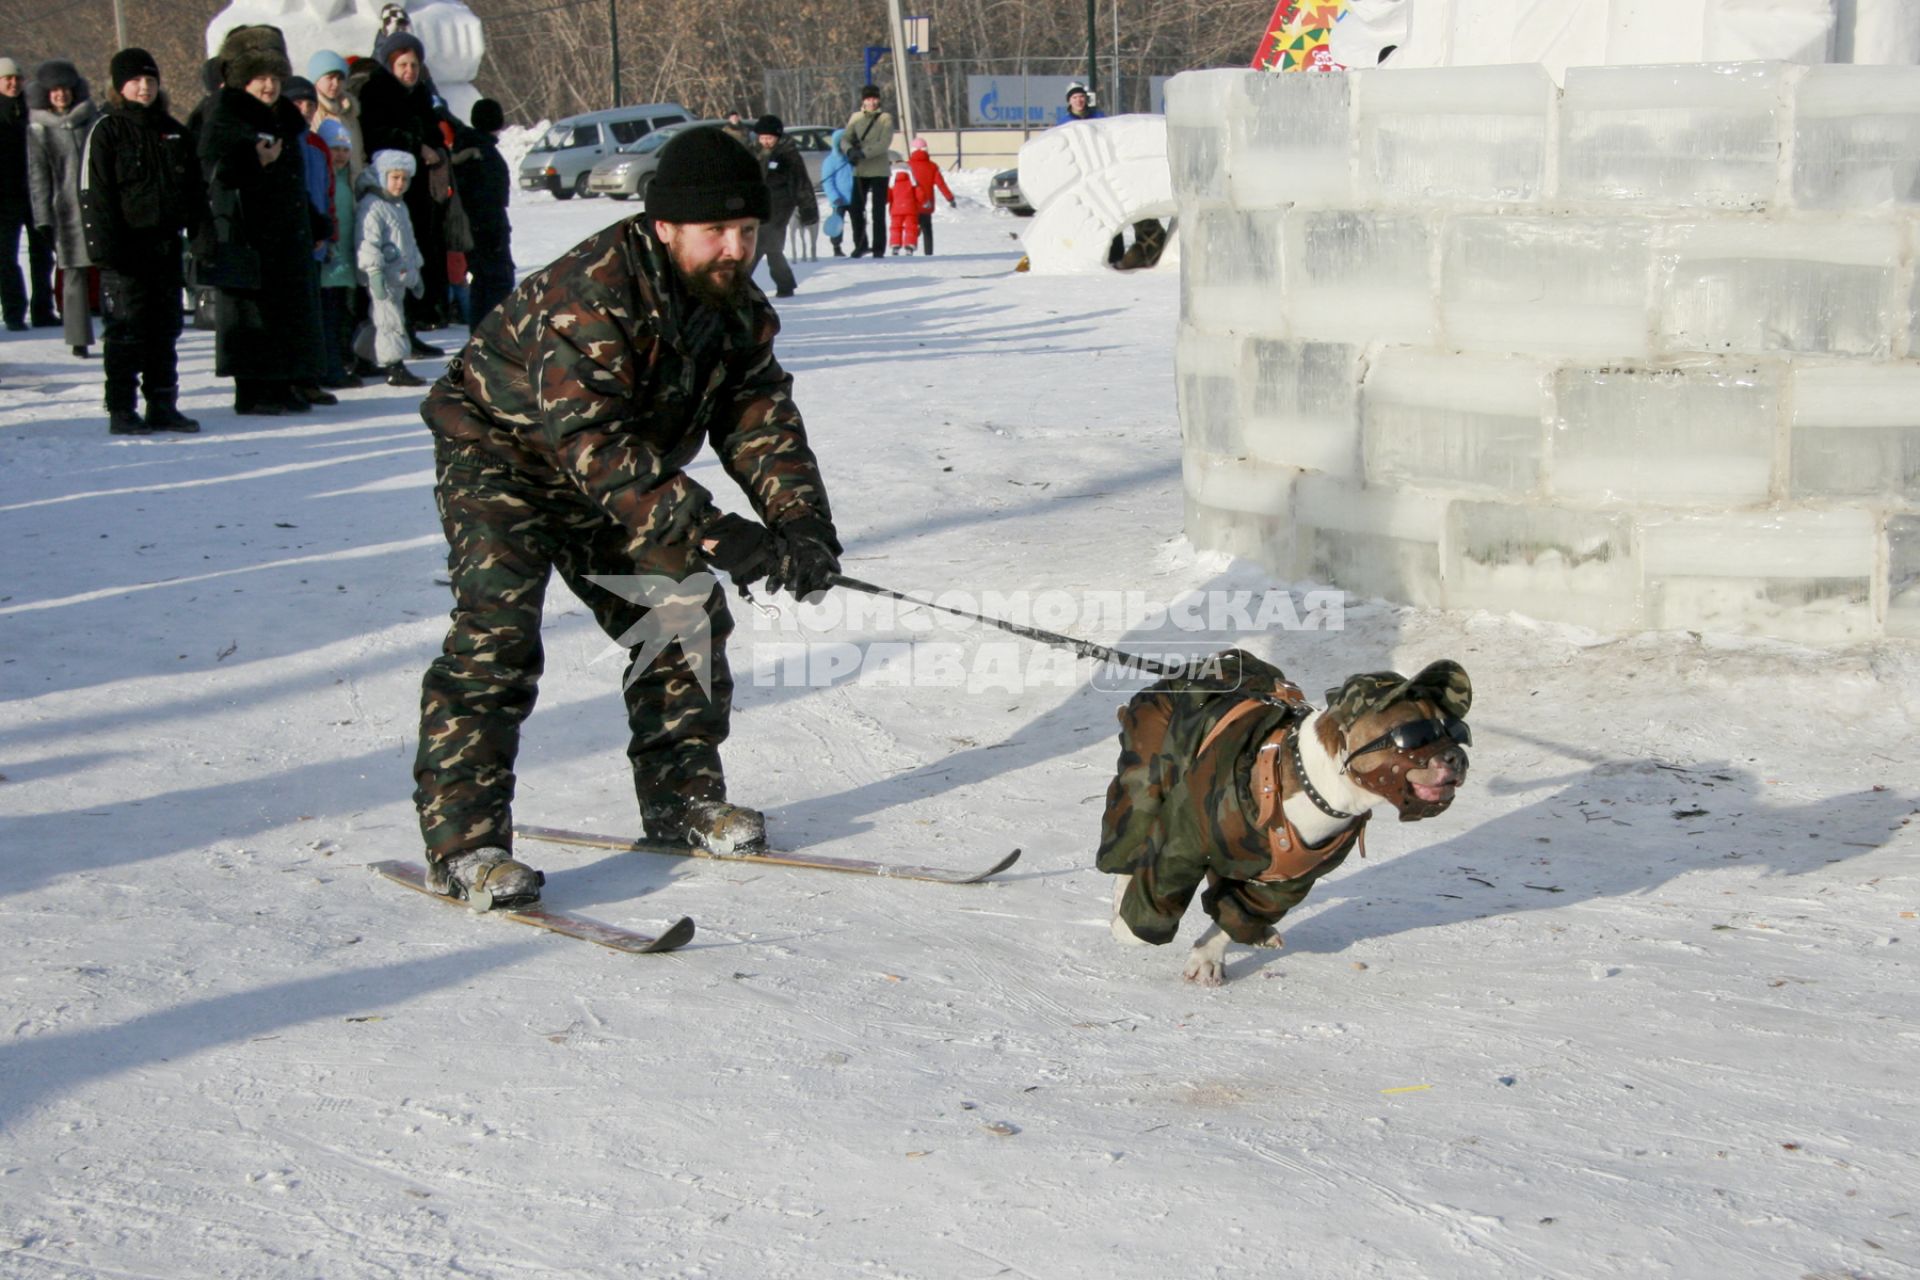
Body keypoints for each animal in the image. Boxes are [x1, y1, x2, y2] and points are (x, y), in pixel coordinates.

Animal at [1098, 656, 1466, 990]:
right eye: (1415, 733)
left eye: (1457, 732)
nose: (1458, 757)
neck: (1314, 782)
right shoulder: (1182, 845)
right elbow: (1145, 913)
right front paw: (1126, 925)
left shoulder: (1288, 881)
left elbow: (1241, 911)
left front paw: (1208, 957)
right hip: (1145, 776)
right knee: (1131, 836)